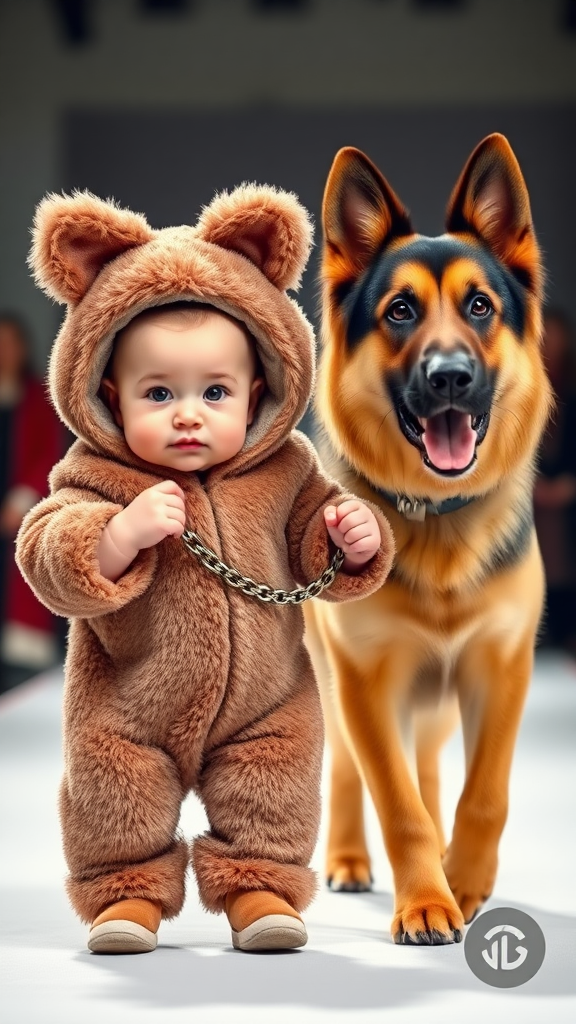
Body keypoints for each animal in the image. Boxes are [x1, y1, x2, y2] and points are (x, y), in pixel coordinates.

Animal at [305, 136, 553, 942]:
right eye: (400, 311)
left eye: (480, 306)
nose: (449, 377)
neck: (436, 517)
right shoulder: (365, 683)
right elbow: (395, 801)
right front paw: (423, 901)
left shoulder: (499, 671)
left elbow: (484, 793)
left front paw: (462, 881)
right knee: (351, 773)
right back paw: (349, 859)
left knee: (434, 769)